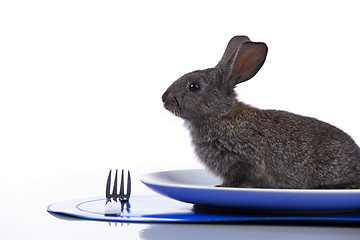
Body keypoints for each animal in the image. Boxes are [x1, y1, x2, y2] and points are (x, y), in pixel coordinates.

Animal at [162, 35, 360, 189]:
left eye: (194, 87)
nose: (164, 99)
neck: (222, 115)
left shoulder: (244, 159)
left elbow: (237, 178)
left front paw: (222, 187)